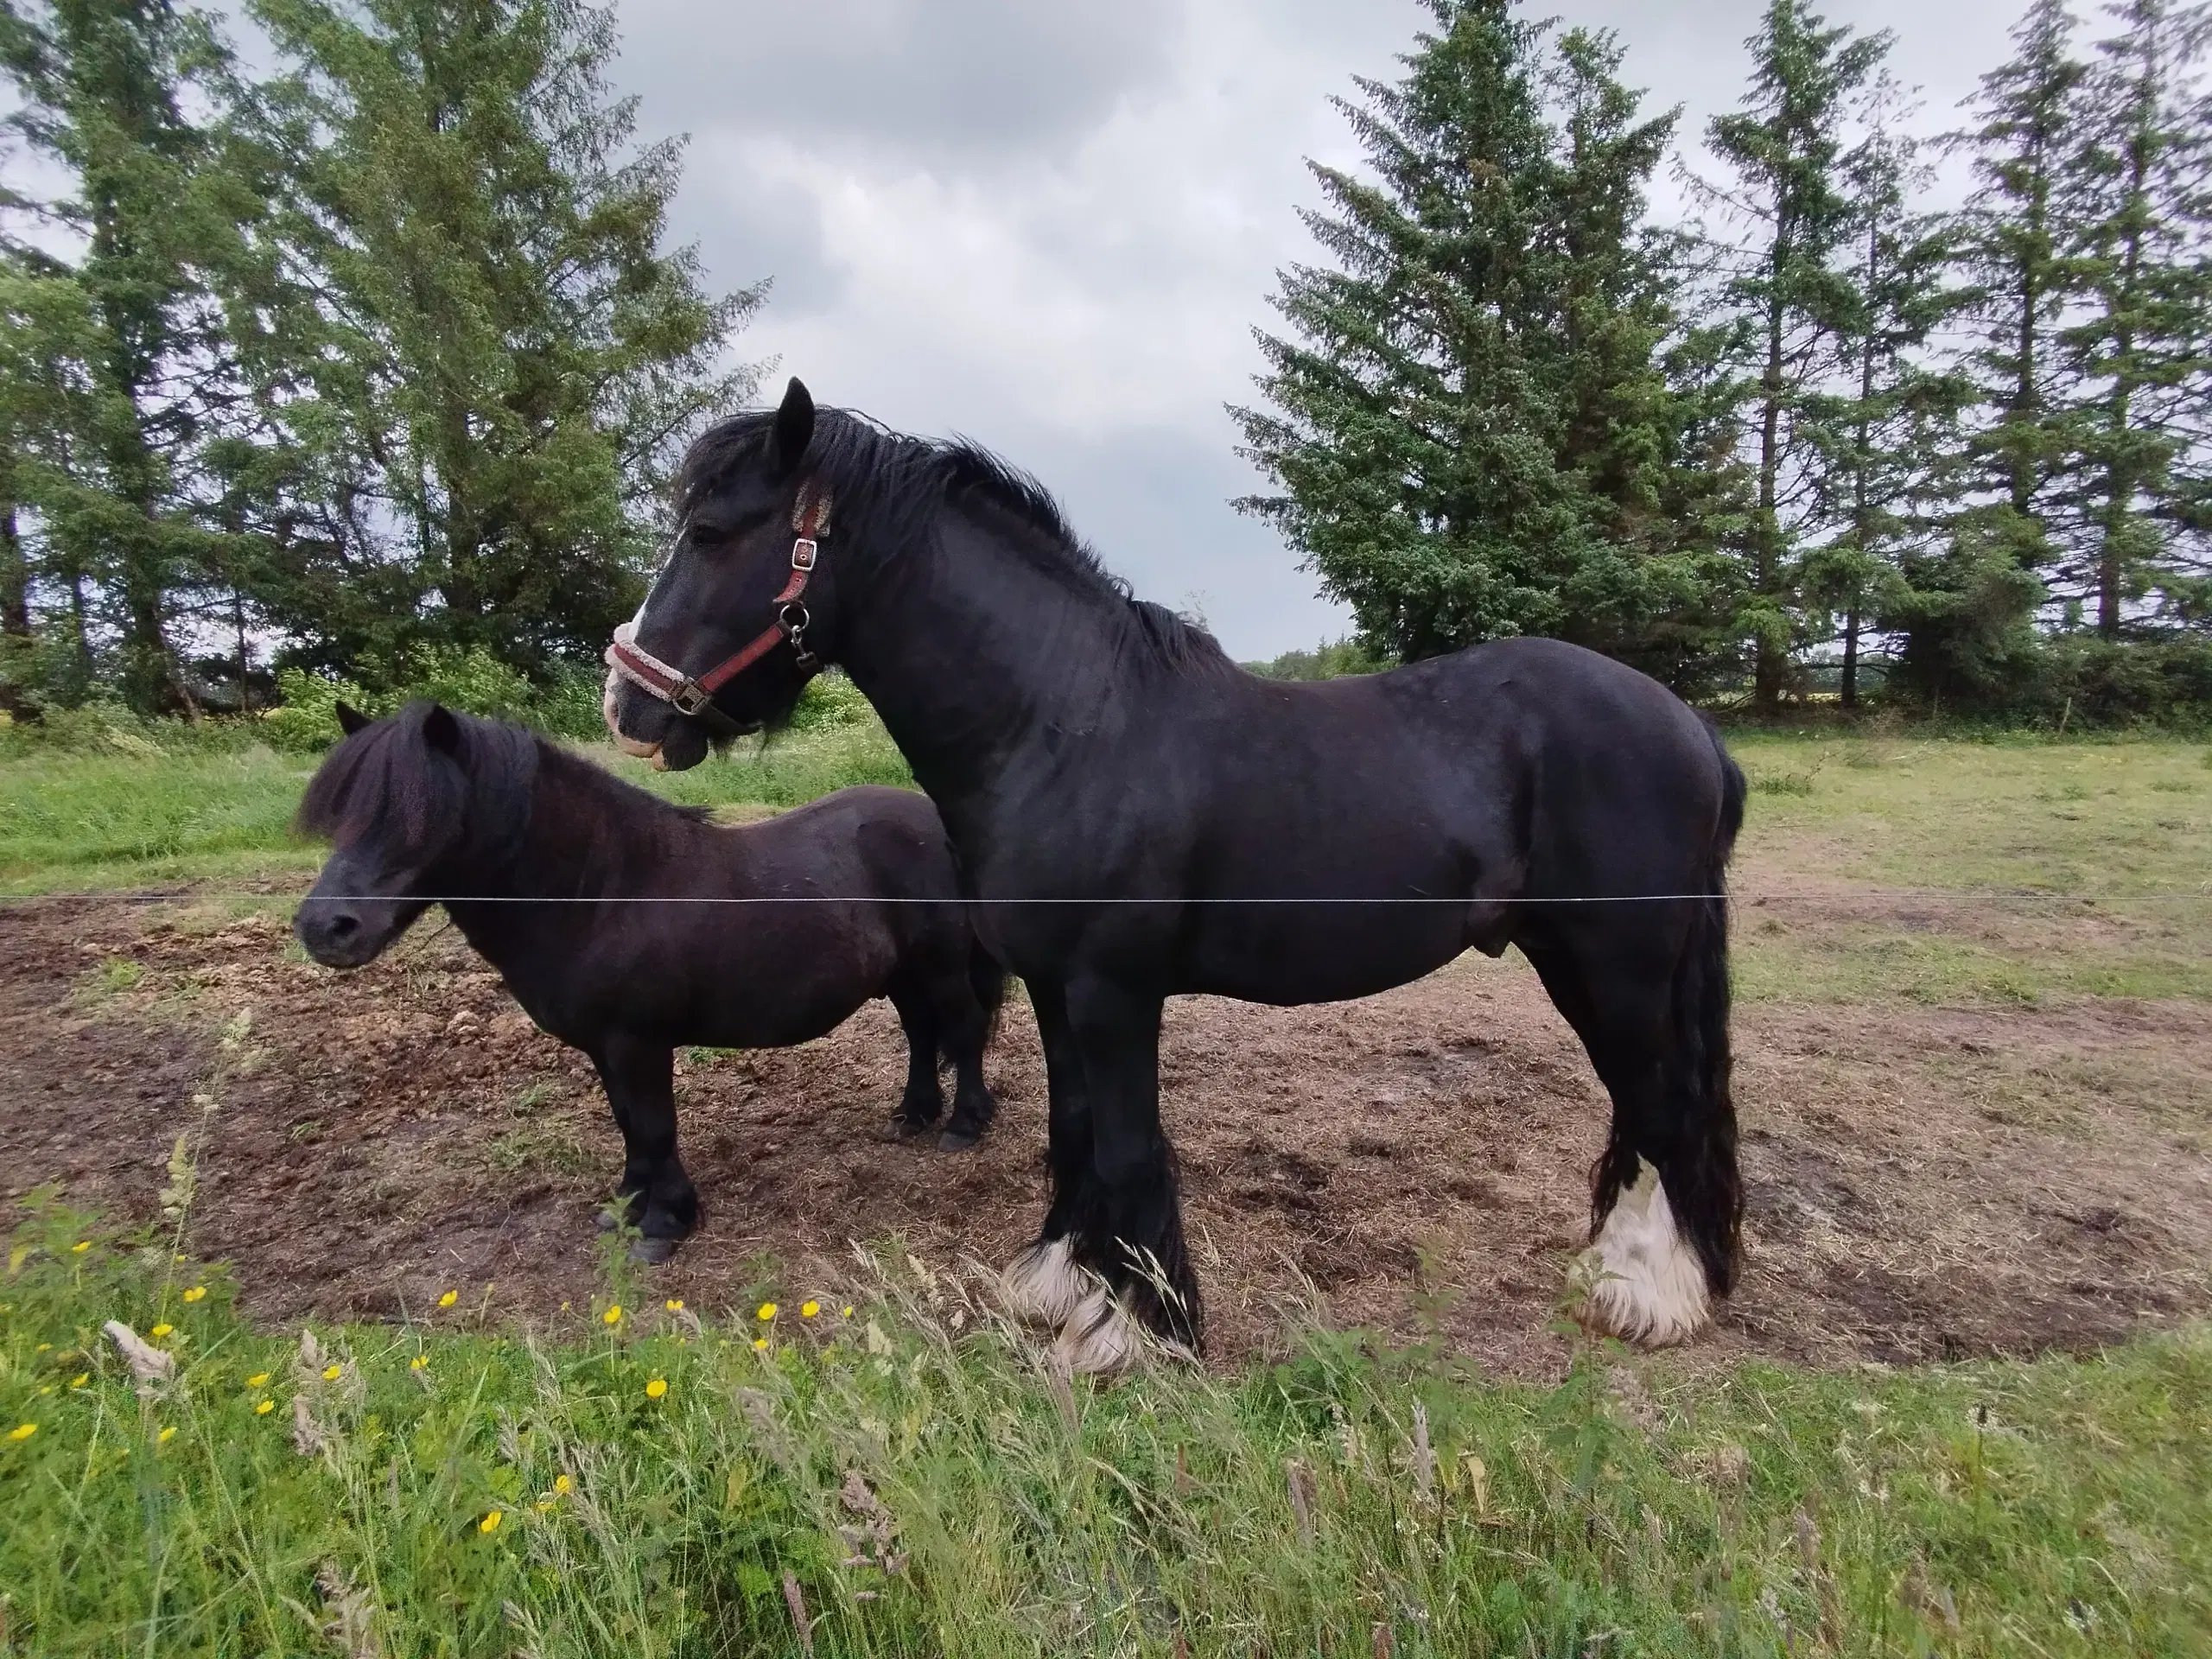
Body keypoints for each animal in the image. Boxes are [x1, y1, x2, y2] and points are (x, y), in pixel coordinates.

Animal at [294, 698, 1004, 1256]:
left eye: (426, 815)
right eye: (344, 813)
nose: (326, 928)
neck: (604, 893)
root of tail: (930, 819)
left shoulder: (639, 1043)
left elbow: (657, 1126)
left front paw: (665, 1224)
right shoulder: (604, 1048)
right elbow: (631, 1127)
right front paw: (628, 1209)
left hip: (942, 968)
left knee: (964, 1031)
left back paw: (964, 1126)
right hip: (905, 975)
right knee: (921, 1036)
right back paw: (912, 1116)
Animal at [606, 380, 1743, 1362]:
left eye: (712, 535)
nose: (627, 707)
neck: (1063, 727)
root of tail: (1690, 728)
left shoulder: (1115, 993)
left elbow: (1125, 1146)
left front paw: (1130, 1332)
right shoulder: (1056, 989)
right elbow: (1072, 1129)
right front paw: (1060, 1285)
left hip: (1619, 965)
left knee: (1659, 1102)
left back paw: (1645, 1296)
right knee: (1644, 1104)